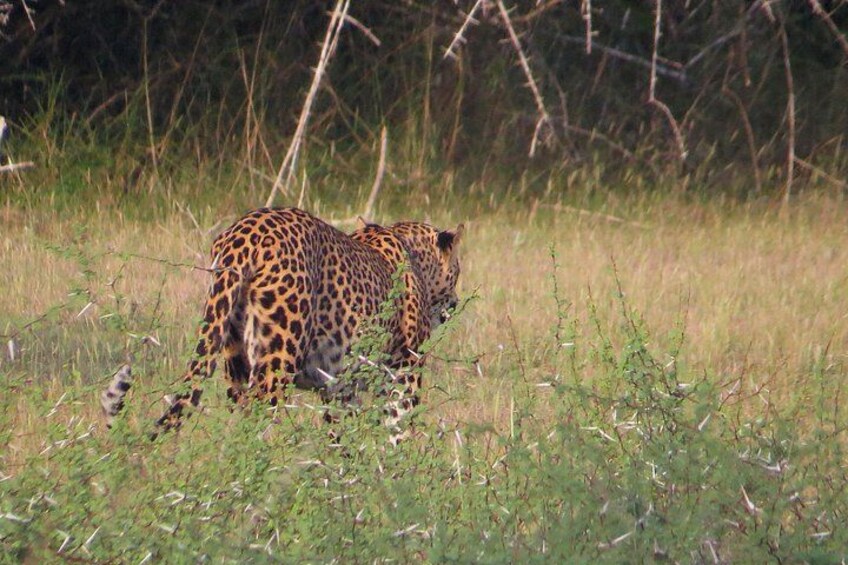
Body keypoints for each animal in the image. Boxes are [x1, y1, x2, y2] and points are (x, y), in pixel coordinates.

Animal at [101, 207, 464, 437]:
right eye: (458, 271)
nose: (455, 303)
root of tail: (242, 234)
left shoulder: (339, 388)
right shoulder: (407, 369)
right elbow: (400, 429)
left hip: (233, 353)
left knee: (238, 420)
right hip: (277, 358)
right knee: (257, 421)